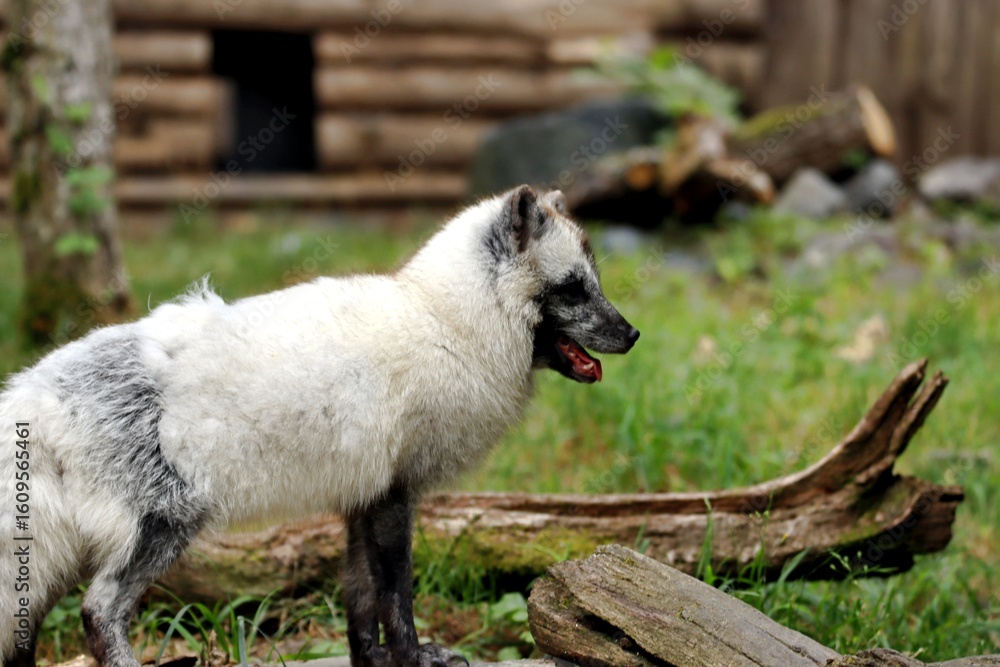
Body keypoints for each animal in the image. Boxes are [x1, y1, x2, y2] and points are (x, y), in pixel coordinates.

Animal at [0, 185, 638, 667]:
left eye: (596, 282)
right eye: (573, 288)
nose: (633, 335)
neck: (446, 325)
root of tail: (34, 392)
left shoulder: (363, 495)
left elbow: (359, 600)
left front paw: (372, 662)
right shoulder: (395, 498)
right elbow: (396, 599)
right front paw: (412, 658)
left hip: (59, 559)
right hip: (163, 526)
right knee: (98, 611)